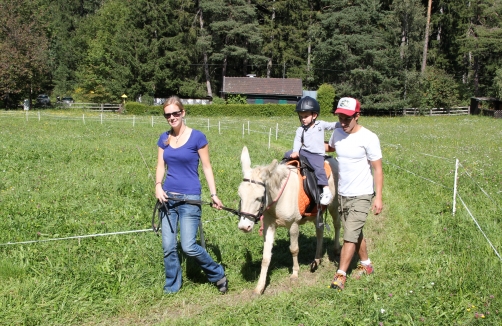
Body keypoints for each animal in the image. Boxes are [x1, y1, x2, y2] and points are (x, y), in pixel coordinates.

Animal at [238, 146, 342, 294]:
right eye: (240, 195)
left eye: (259, 197)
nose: (244, 226)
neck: (279, 197)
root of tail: (331, 159)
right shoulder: (269, 226)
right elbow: (266, 257)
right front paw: (260, 286)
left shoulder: (293, 225)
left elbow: (294, 249)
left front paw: (295, 273)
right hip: (317, 213)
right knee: (320, 231)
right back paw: (316, 259)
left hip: (333, 205)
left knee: (337, 224)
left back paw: (336, 249)